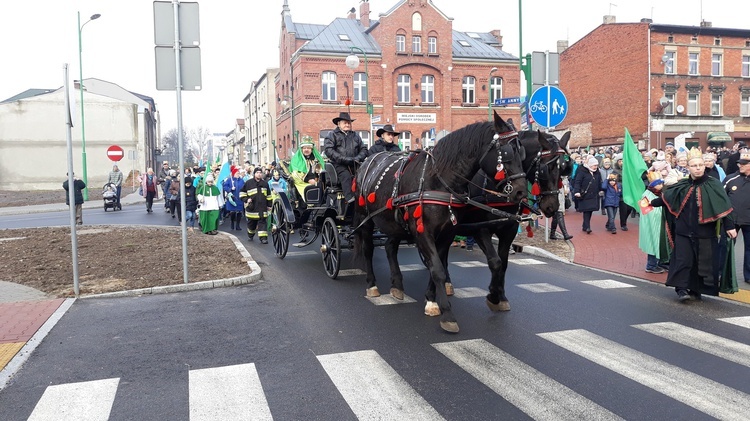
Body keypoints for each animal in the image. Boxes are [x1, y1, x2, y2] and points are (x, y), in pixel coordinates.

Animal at [354, 111, 528, 332]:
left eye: (522, 153)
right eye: (506, 153)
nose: (521, 192)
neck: (438, 180)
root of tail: (367, 162)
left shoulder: (447, 233)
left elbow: (437, 266)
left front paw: (431, 299)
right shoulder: (423, 232)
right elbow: (437, 268)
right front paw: (447, 313)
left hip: (394, 224)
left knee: (390, 247)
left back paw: (397, 285)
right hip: (365, 218)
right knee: (368, 249)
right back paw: (372, 284)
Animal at [432, 130, 572, 314]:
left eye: (564, 168)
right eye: (545, 169)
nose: (552, 207)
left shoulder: (509, 229)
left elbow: (503, 263)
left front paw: (501, 295)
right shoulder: (480, 230)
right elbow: (495, 262)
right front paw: (493, 295)